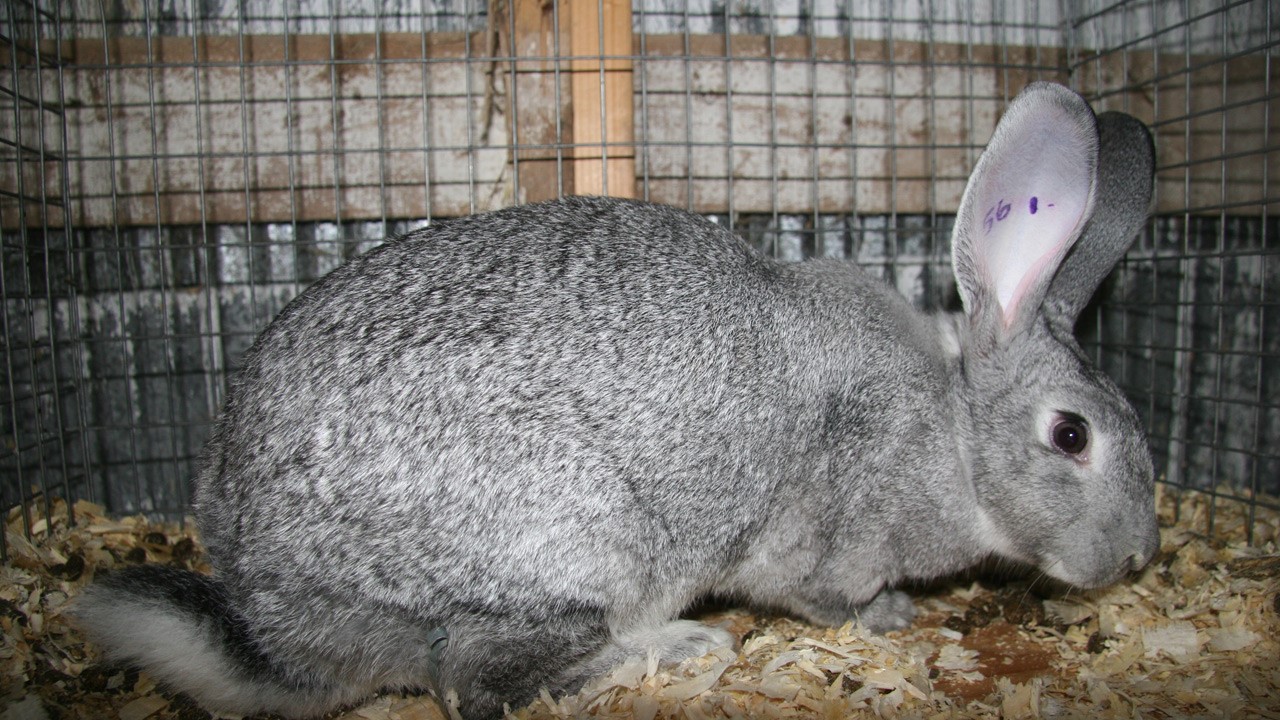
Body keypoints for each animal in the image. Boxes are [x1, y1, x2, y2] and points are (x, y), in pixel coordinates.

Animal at [73, 81, 1160, 719]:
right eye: (1070, 436)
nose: (1135, 559)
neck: (950, 430)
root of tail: (277, 619)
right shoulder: (826, 536)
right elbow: (827, 595)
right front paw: (889, 614)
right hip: (570, 543)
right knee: (481, 685)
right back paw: (673, 649)